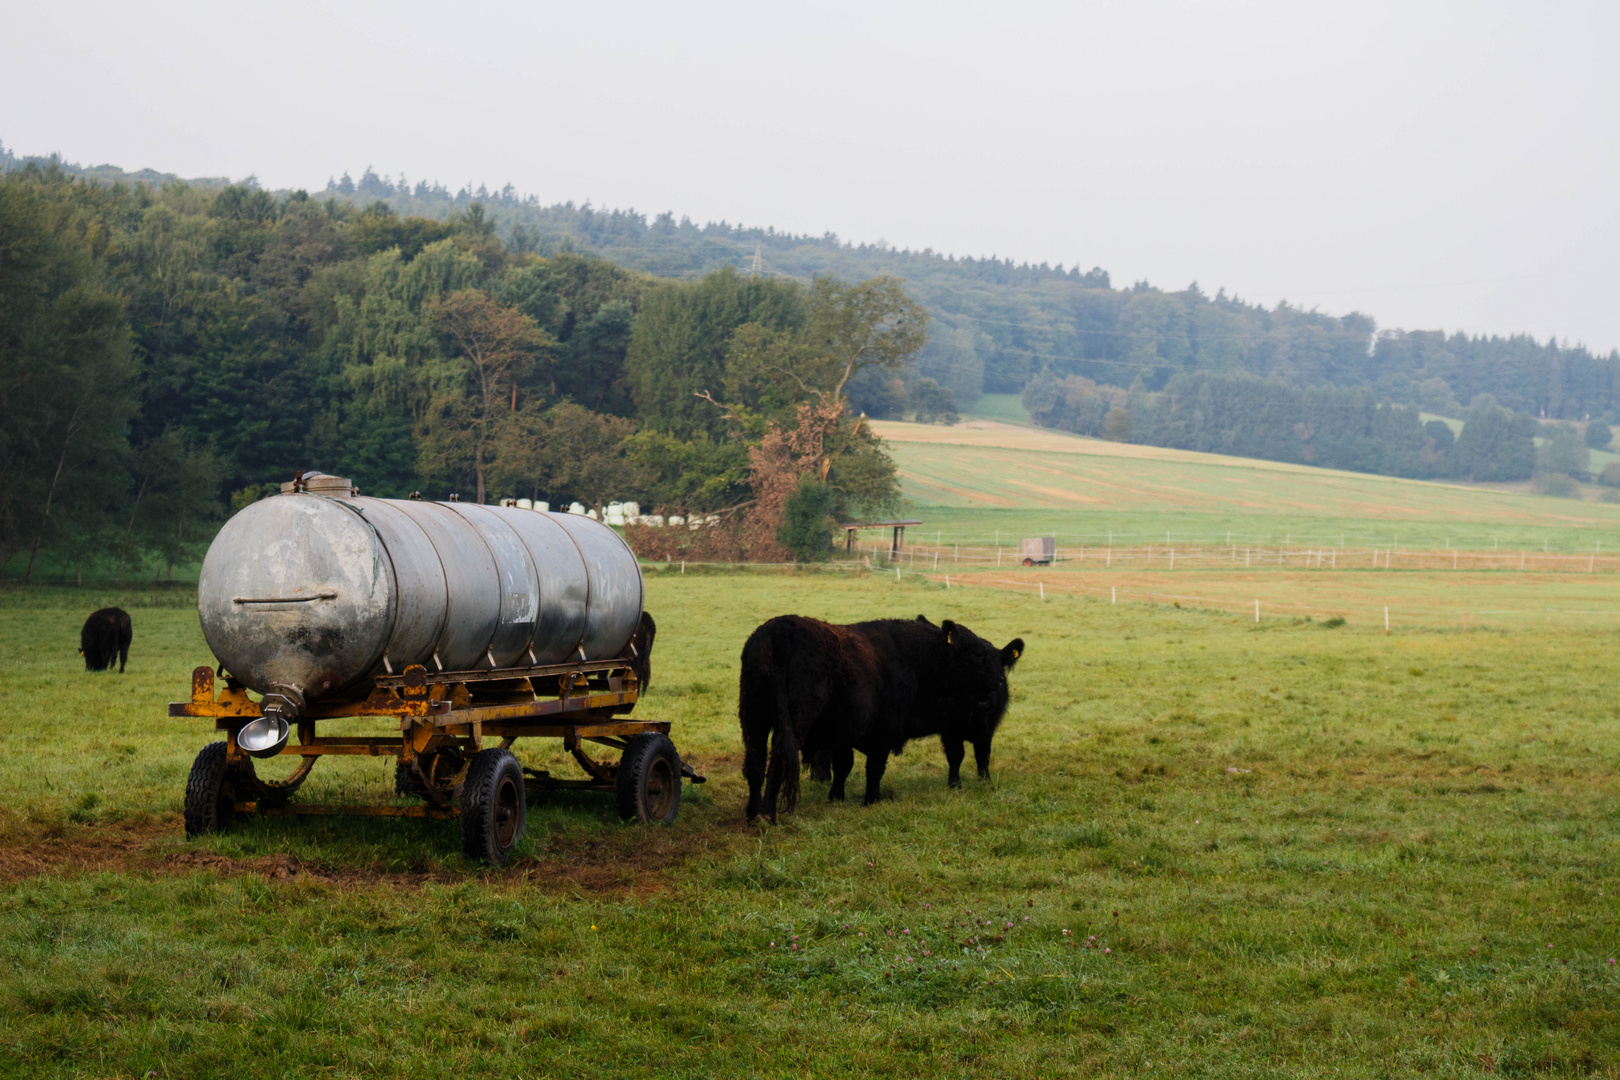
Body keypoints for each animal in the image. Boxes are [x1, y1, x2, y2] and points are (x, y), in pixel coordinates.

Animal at [741, 612, 1017, 822]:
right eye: (979, 654)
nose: (999, 681)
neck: (911, 658)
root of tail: (782, 627)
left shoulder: (843, 731)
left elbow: (844, 766)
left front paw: (836, 798)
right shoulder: (884, 729)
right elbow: (874, 767)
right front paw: (871, 800)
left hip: (752, 717)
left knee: (755, 763)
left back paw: (752, 813)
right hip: (794, 720)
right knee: (778, 760)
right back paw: (768, 815)